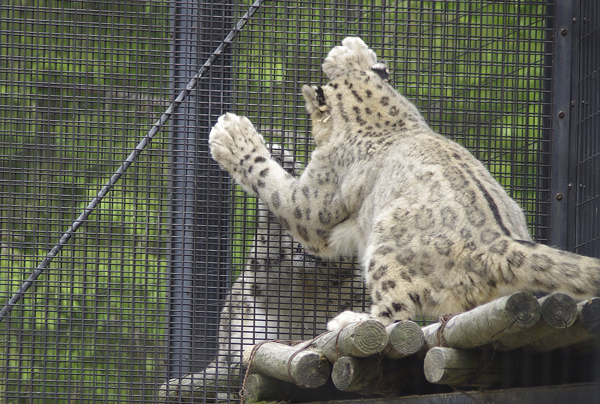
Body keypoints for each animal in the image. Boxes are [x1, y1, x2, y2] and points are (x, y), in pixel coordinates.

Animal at [210, 36, 600, 330]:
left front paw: (232, 136)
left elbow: (273, 184)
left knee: (397, 315)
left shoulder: (313, 205)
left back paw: (349, 321)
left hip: (385, 252)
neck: (388, 120)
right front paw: (348, 53)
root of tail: (499, 243)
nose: (345, 49)